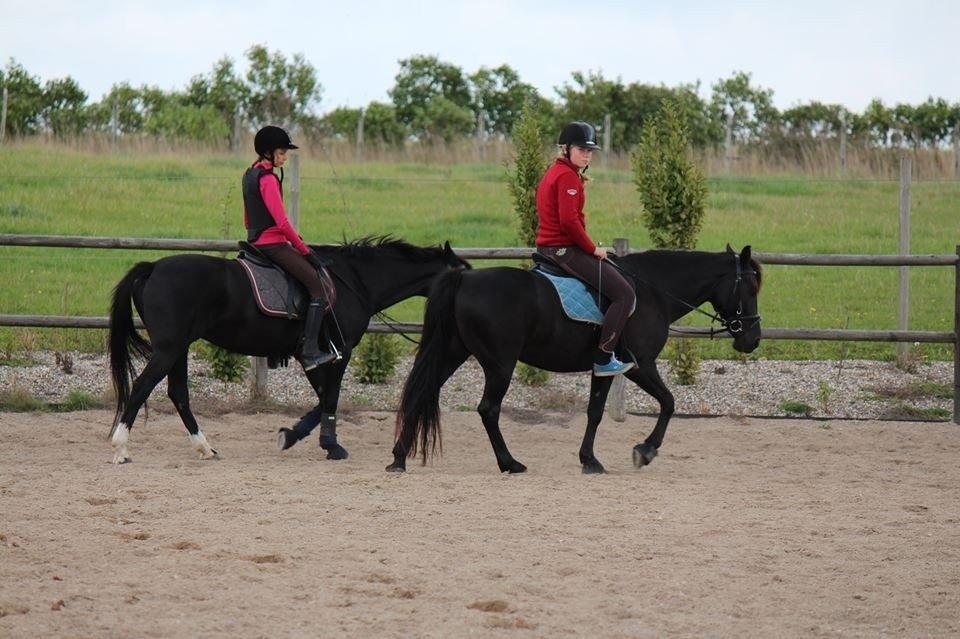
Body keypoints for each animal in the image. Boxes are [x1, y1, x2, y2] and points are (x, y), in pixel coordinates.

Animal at [109, 238, 468, 462]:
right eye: (463, 273)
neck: (357, 282)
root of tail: (153, 267)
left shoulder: (313, 356)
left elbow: (323, 397)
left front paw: (294, 435)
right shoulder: (338, 353)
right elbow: (330, 397)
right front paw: (330, 445)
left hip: (178, 349)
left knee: (178, 393)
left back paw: (205, 448)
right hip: (169, 349)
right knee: (143, 387)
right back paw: (121, 448)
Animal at [386, 245, 760, 476]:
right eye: (752, 288)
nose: (752, 339)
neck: (654, 291)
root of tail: (464, 278)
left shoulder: (604, 366)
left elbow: (595, 412)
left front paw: (589, 460)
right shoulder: (640, 365)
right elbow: (668, 402)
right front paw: (645, 450)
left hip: (453, 352)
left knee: (421, 392)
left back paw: (399, 458)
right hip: (499, 364)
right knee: (488, 410)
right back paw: (510, 463)